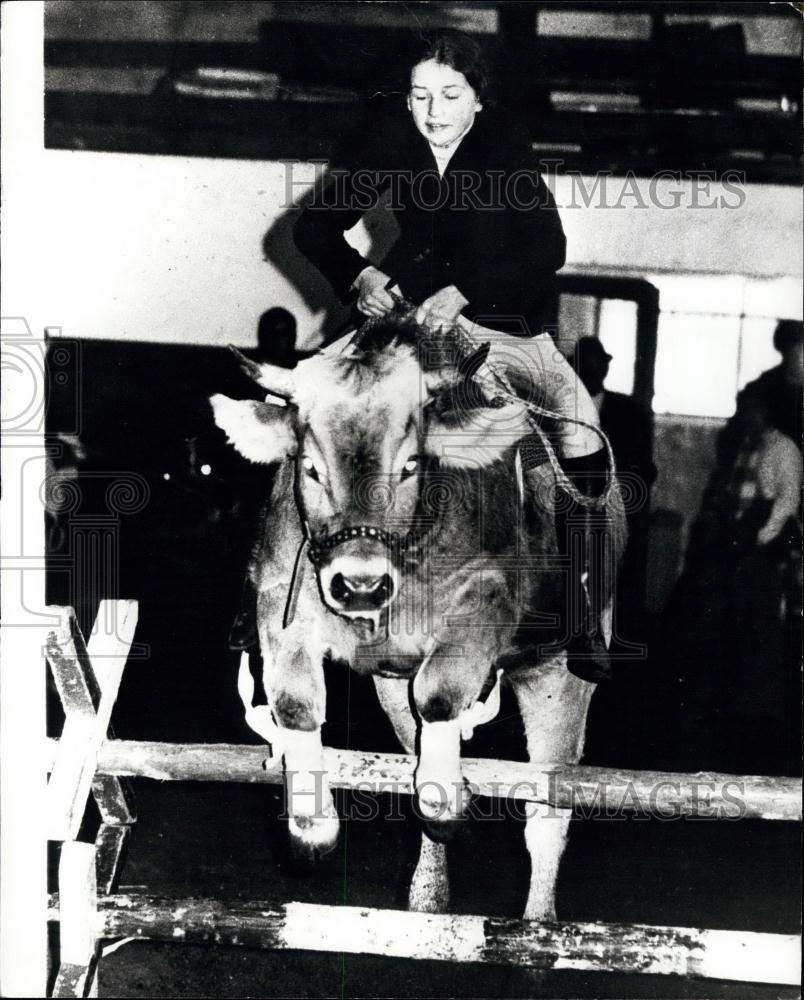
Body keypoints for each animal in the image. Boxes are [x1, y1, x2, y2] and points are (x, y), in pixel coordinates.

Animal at [209, 312, 620, 920]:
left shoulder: (484, 604)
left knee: (548, 813)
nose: (359, 585)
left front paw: (446, 800)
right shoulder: (285, 604)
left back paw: (539, 924)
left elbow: (441, 693)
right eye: (310, 468)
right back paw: (428, 898)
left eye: (409, 465)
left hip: (558, 677)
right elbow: (297, 703)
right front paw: (311, 824)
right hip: (390, 686)